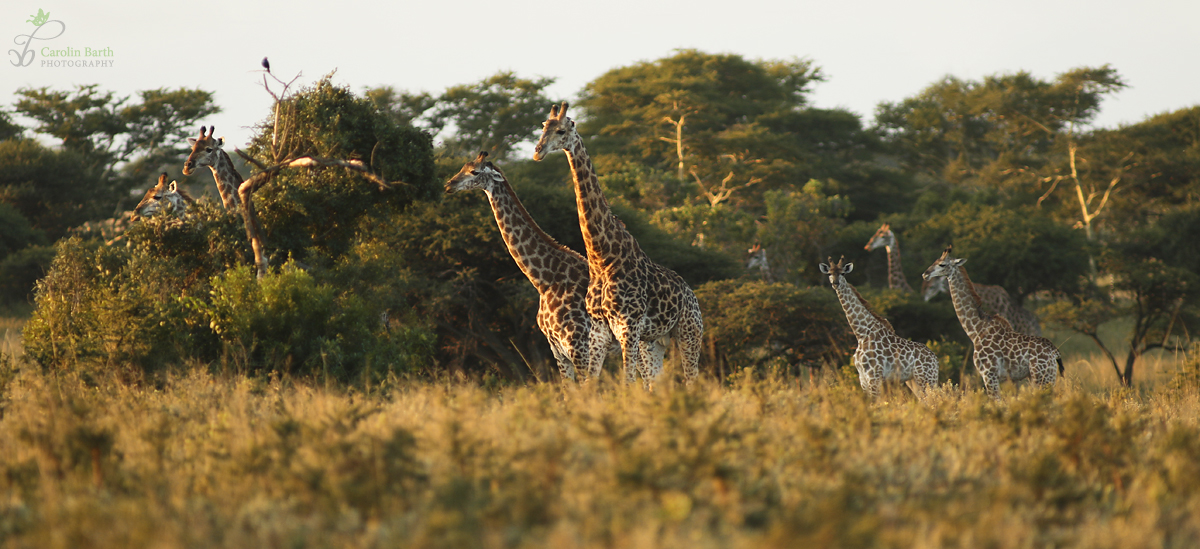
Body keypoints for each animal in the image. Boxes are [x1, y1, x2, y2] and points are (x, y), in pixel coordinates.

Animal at [451, 149, 619, 381]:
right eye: (462, 167)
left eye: (474, 171)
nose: (449, 184)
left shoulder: (579, 346)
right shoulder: (557, 350)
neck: (545, 281)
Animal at [535, 101, 700, 385]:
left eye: (560, 130)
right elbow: (591, 382)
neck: (602, 257)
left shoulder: (628, 326)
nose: (537, 151)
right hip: (655, 341)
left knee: (691, 379)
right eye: (543, 126)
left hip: (689, 333)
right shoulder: (599, 330)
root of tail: (692, 294)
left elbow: (627, 381)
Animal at [820, 255, 940, 400]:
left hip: (926, 379)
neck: (861, 333)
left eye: (842, 273)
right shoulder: (862, 378)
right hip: (914, 381)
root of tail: (935, 360)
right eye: (829, 273)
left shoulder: (874, 376)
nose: (835, 283)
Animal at [921, 245, 1065, 397]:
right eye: (935, 260)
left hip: (1041, 376)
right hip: (1042, 377)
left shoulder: (989, 372)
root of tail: (1056, 353)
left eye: (942, 264)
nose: (925, 274)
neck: (976, 329)